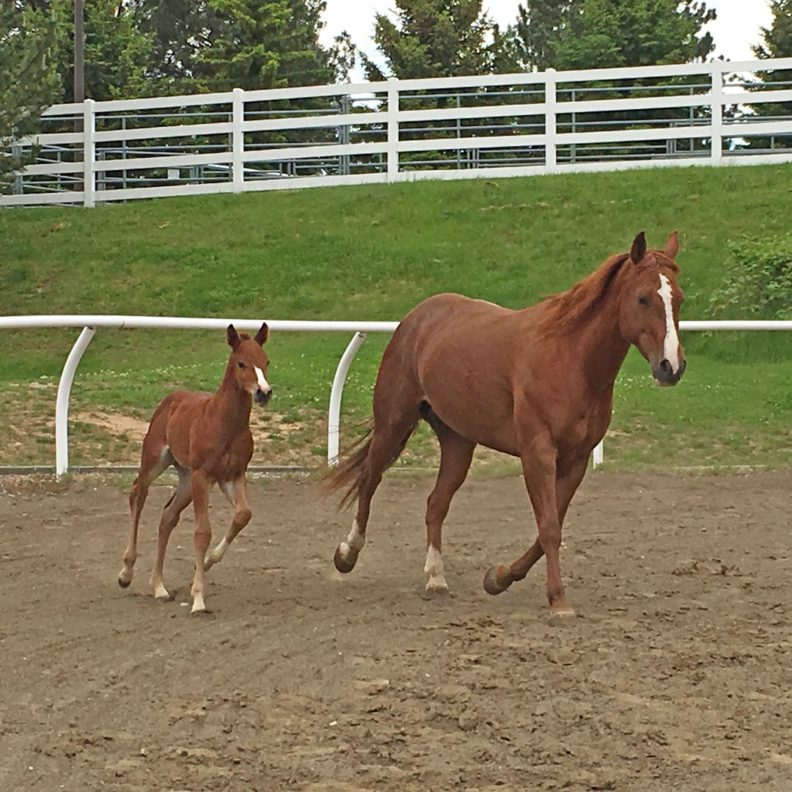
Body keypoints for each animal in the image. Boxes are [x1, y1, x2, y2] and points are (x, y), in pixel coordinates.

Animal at [118, 323, 272, 614]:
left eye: (266, 361)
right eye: (242, 363)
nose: (264, 392)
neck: (225, 424)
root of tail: (171, 399)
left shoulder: (232, 476)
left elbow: (243, 515)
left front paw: (209, 561)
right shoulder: (204, 475)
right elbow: (202, 532)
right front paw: (199, 599)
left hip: (187, 479)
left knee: (168, 516)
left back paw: (159, 587)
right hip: (156, 462)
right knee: (137, 494)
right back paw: (126, 573)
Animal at [326, 232, 686, 616]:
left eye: (678, 298)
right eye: (643, 298)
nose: (671, 367)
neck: (570, 359)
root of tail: (417, 317)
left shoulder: (575, 461)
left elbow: (547, 530)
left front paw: (498, 578)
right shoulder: (537, 454)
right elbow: (549, 527)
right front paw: (558, 601)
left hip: (458, 443)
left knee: (436, 503)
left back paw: (436, 577)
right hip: (393, 423)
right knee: (370, 478)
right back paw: (347, 554)